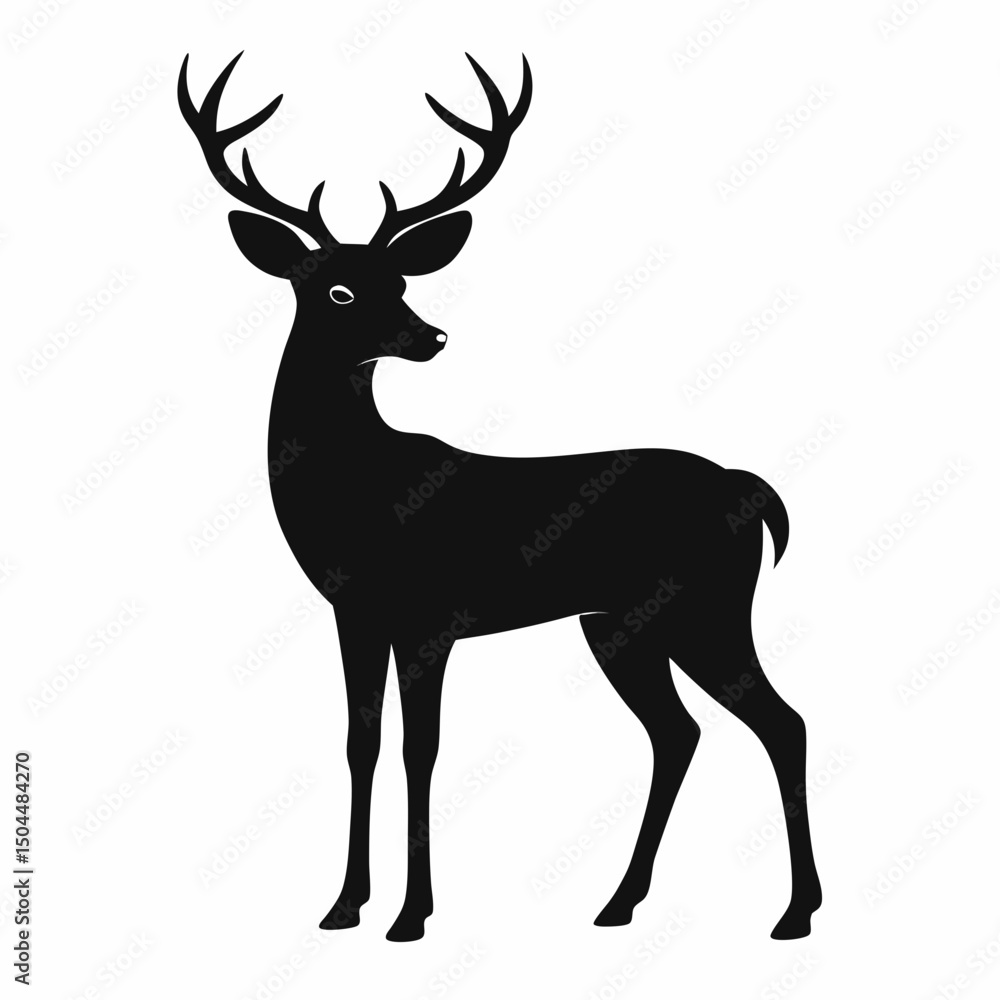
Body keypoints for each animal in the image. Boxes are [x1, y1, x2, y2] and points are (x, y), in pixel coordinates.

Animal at [178, 51, 821, 943]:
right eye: (337, 290)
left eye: (400, 278)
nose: (430, 337)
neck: (358, 491)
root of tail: (749, 489)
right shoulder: (353, 611)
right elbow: (360, 742)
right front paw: (343, 905)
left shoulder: (428, 615)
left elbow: (421, 749)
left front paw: (411, 916)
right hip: (618, 623)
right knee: (679, 733)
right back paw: (619, 903)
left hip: (708, 608)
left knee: (781, 721)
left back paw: (794, 913)